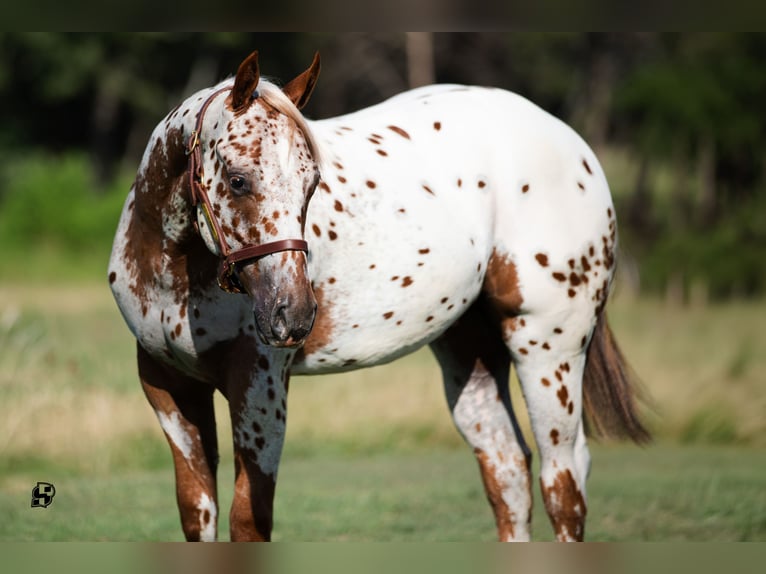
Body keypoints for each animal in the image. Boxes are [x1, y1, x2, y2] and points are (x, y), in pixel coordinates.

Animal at [108, 51, 648, 544]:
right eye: (239, 180)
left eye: (311, 184)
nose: (293, 315)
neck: (174, 274)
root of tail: (571, 143)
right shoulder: (169, 387)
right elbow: (197, 513)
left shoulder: (259, 388)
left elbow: (248, 522)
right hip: (469, 352)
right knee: (507, 471)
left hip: (548, 348)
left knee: (563, 484)